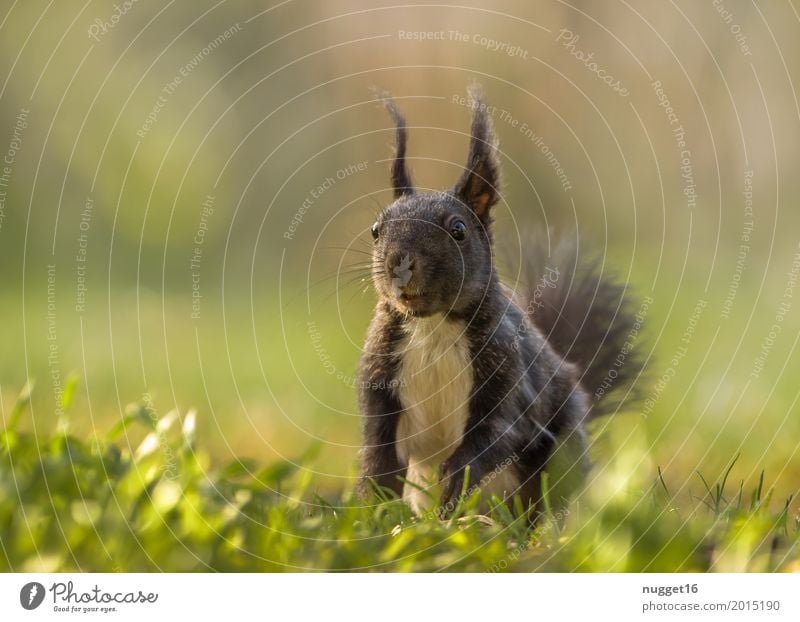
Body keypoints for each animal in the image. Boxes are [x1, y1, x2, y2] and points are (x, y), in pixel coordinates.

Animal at [356, 86, 644, 516]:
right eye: (376, 229)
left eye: (458, 229)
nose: (399, 264)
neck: (432, 326)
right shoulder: (380, 378)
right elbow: (378, 452)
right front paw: (369, 509)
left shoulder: (508, 374)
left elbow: (496, 433)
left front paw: (455, 481)